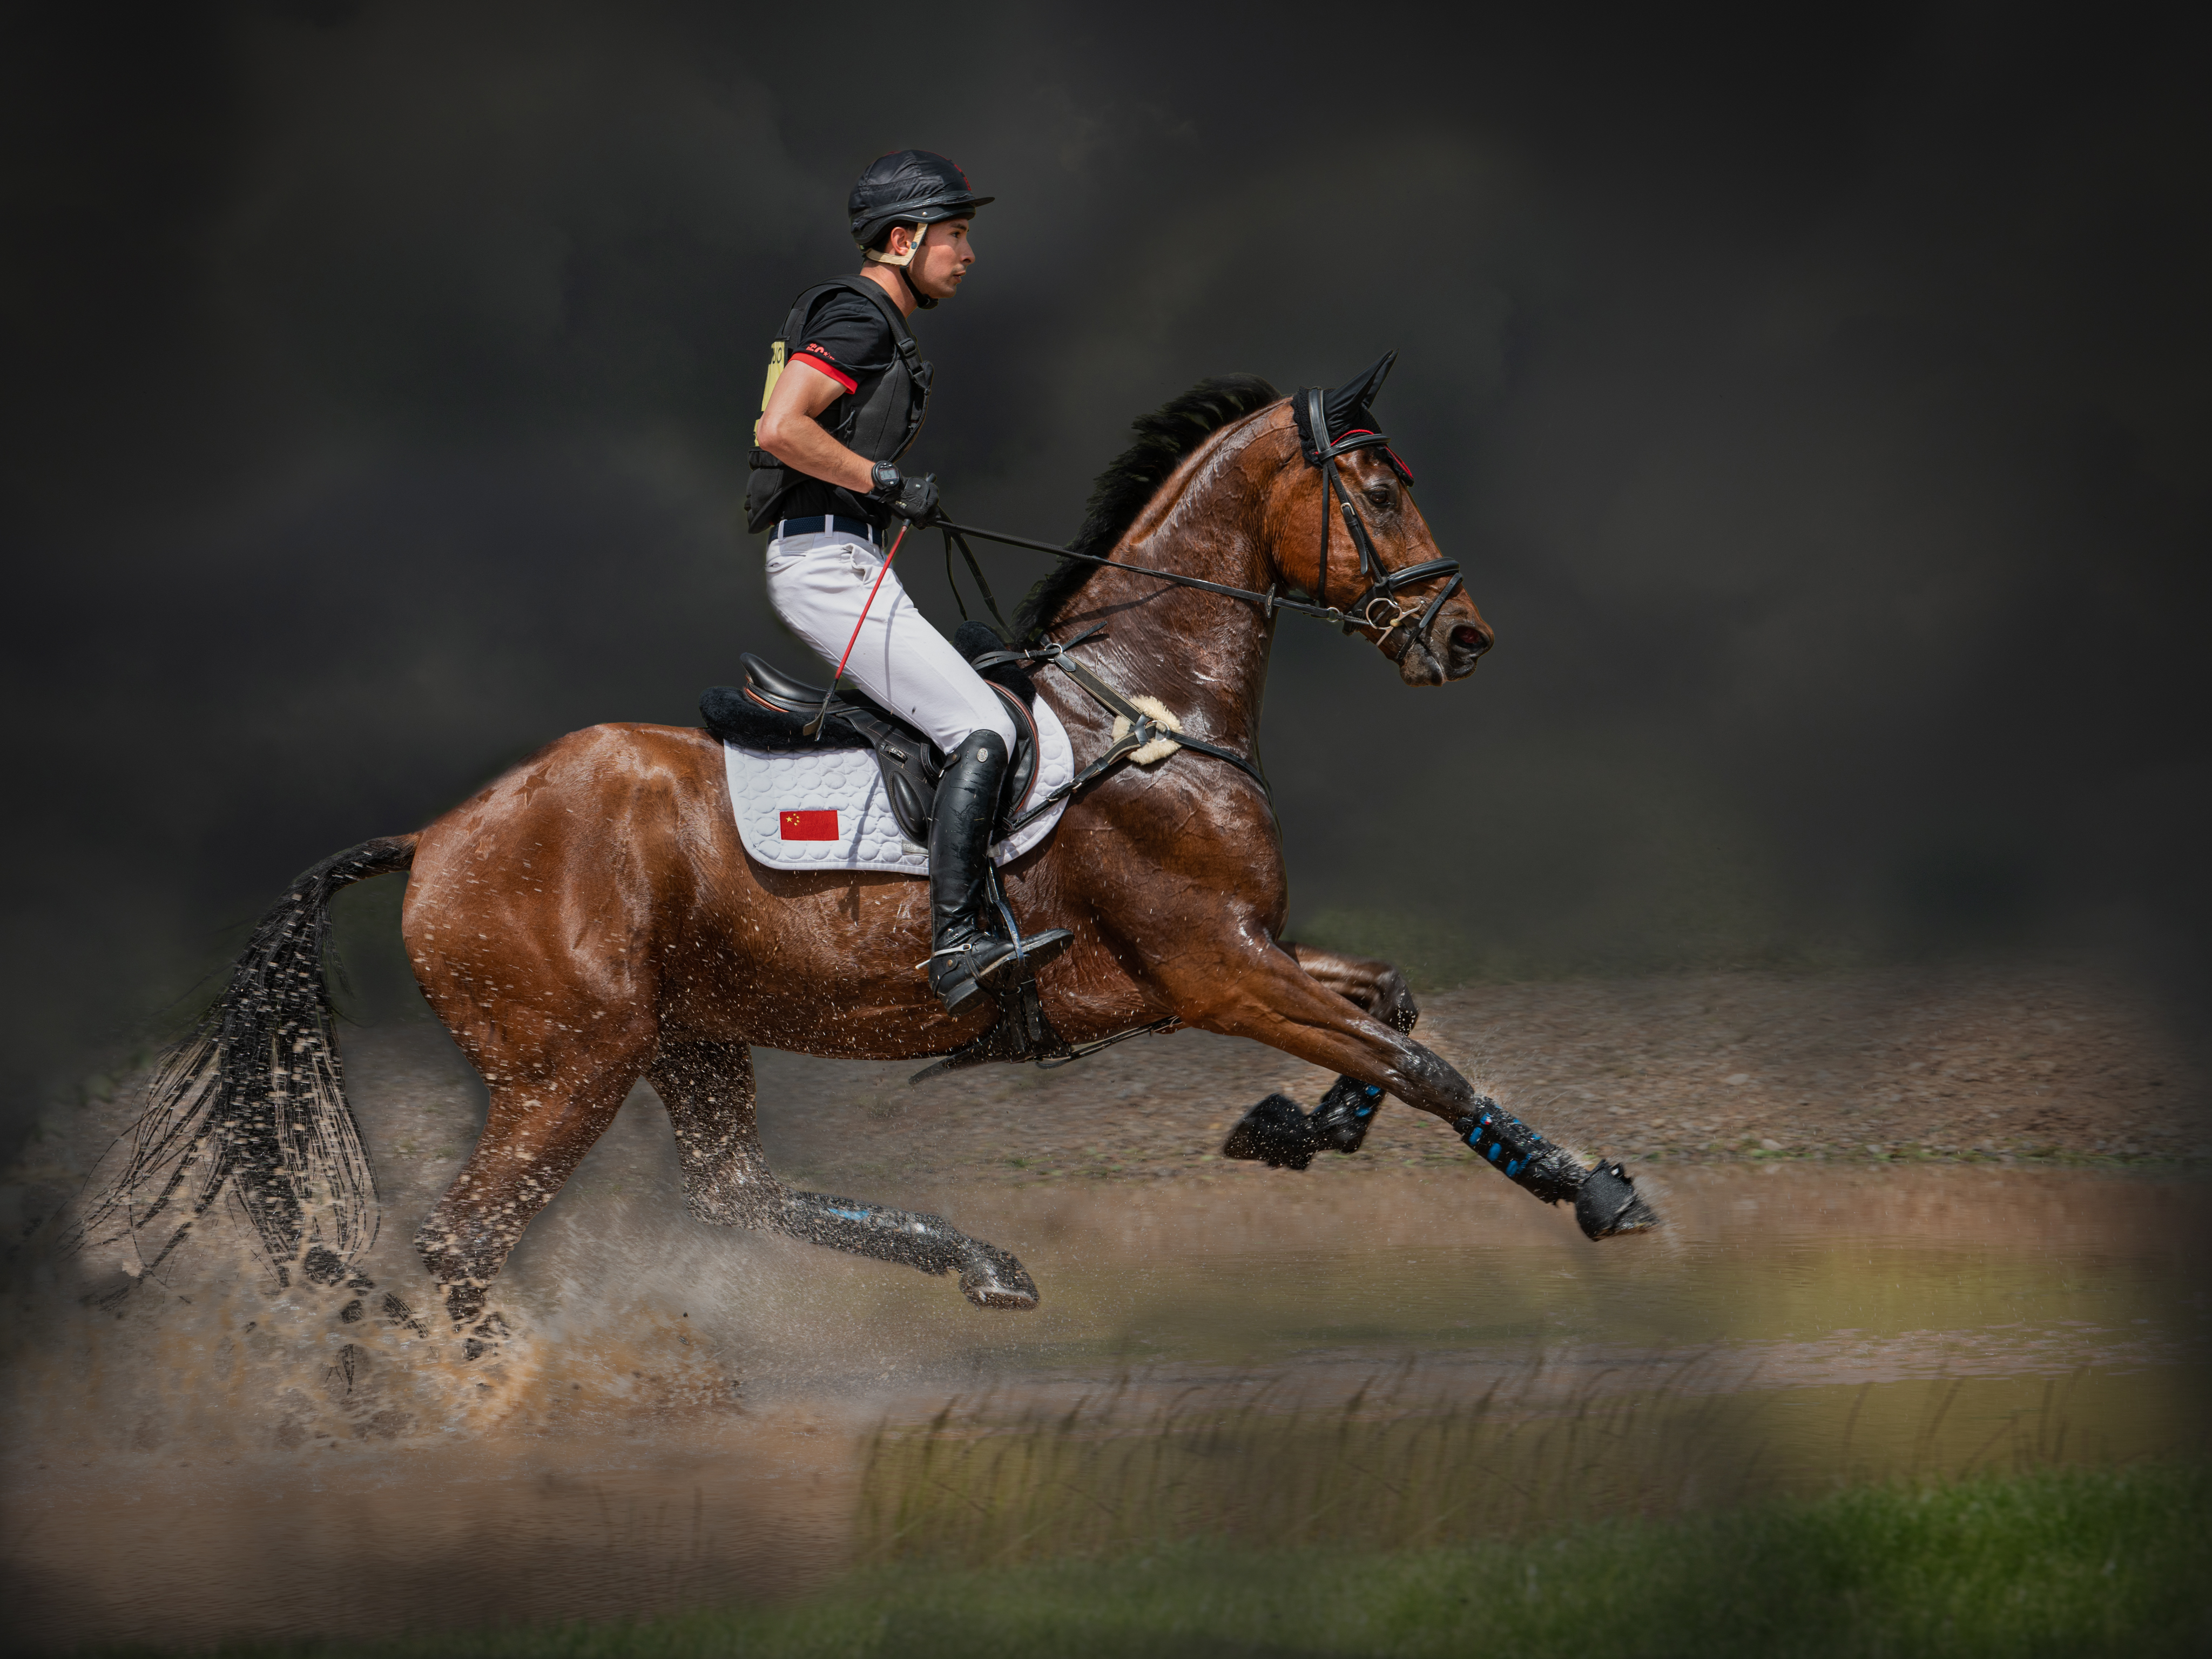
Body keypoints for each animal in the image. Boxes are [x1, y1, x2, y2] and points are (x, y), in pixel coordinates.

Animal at [78, 367, 1654, 1353]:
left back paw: (979, 1261)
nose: (1464, 636)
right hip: (566, 1069)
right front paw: (1593, 1190)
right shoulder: (1215, 972)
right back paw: (516, 1404)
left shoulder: (1247, 956)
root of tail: (445, 830)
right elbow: (1421, 1060)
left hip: (685, 1037)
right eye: (1378, 494)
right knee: (468, 1249)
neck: (1153, 704)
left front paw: (1290, 1128)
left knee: (732, 1194)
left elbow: (1389, 1005)